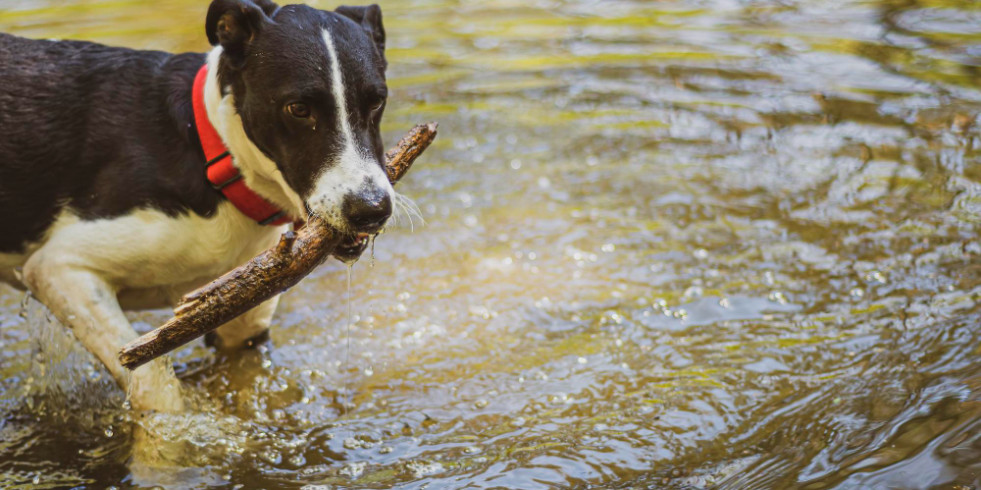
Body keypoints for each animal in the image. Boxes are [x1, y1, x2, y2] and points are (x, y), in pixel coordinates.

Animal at [0, 0, 390, 414]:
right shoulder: (60, 270)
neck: (212, 151)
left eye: (377, 101)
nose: (372, 209)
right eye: (298, 109)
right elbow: (157, 385)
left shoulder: (240, 325)